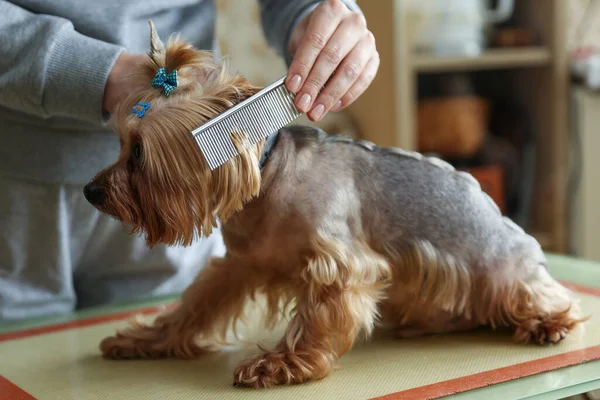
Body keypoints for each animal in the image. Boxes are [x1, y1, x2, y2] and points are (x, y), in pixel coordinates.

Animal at [84, 21, 584, 388]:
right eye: (120, 144)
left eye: (139, 154)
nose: (91, 192)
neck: (267, 177)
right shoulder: (238, 264)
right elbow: (195, 304)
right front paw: (149, 338)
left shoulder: (340, 268)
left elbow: (317, 320)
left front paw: (280, 364)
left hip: (504, 273)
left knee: (546, 297)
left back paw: (547, 322)